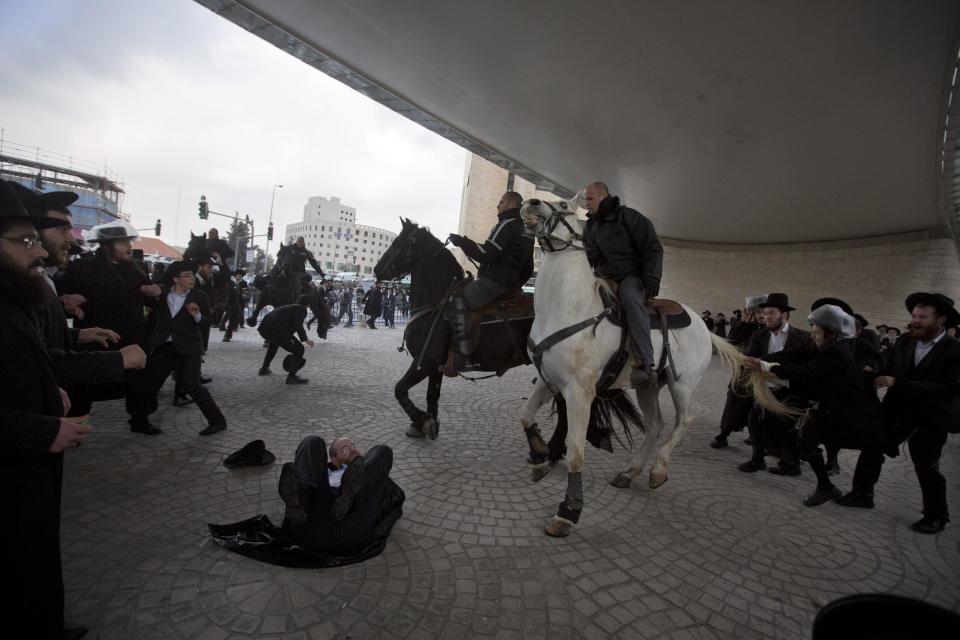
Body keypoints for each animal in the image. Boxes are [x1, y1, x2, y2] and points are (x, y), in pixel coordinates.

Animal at [374, 218, 532, 438]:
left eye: (397, 243)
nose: (376, 270)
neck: (436, 302)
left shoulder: (425, 362)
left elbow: (399, 389)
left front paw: (421, 420)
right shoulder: (435, 367)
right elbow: (432, 395)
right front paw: (427, 422)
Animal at [516, 195, 744, 536]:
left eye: (564, 205)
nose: (531, 203)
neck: (568, 309)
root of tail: (705, 328)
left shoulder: (579, 392)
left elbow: (575, 453)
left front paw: (569, 511)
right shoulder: (549, 381)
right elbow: (526, 415)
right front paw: (540, 457)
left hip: (681, 384)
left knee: (683, 420)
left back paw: (658, 470)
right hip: (648, 386)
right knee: (656, 425)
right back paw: (630, 472)